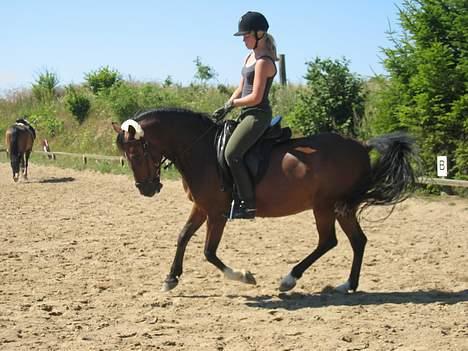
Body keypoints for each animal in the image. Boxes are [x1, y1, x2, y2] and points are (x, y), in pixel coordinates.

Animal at [112, 108, 416, 294]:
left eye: (136, 153)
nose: (146, 189)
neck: (203, 150)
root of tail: (361, 146)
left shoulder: (217, 213)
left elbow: (209, 252)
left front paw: (243, 276)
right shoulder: (202, 206)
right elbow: (183, 236)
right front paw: (171, 278)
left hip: (325, 205)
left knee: (329, 241)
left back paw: (290, 279)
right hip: (342, 207)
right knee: (357, 241)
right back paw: (347, 285)